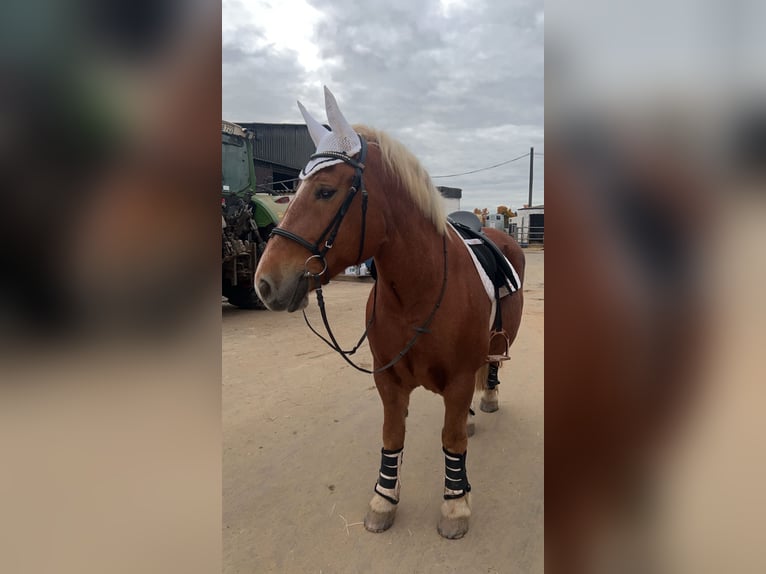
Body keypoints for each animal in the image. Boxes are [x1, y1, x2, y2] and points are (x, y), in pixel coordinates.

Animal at [254, 87, 524, 539]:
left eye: (325, 191)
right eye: (293, 189)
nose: (264, 283)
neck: (419, 292)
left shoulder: (456, 380)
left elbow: (451, 440)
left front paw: (455, 504)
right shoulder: (389, 382)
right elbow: (393, 437)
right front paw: (383, 499)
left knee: (489, 366)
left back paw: (486, 398)